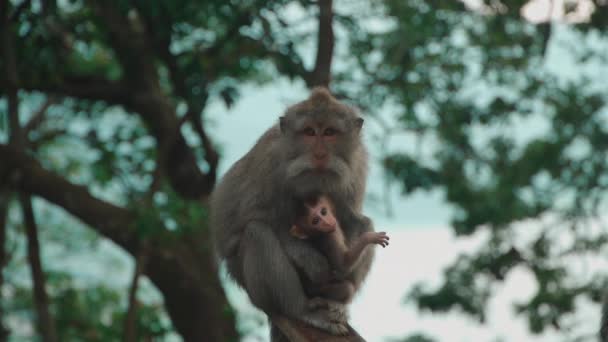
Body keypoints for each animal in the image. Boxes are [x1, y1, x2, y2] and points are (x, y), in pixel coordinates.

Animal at [209, 87, 372, 338]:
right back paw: (300, 310)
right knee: (256, 232)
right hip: (246, 281)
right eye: (309, 132)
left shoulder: (357, 165)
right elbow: (241, 223)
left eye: (329, 132)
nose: (319, 154)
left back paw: (336, 301)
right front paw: (309, 257)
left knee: (366, 224)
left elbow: (353, 220)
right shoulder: (269, 162)